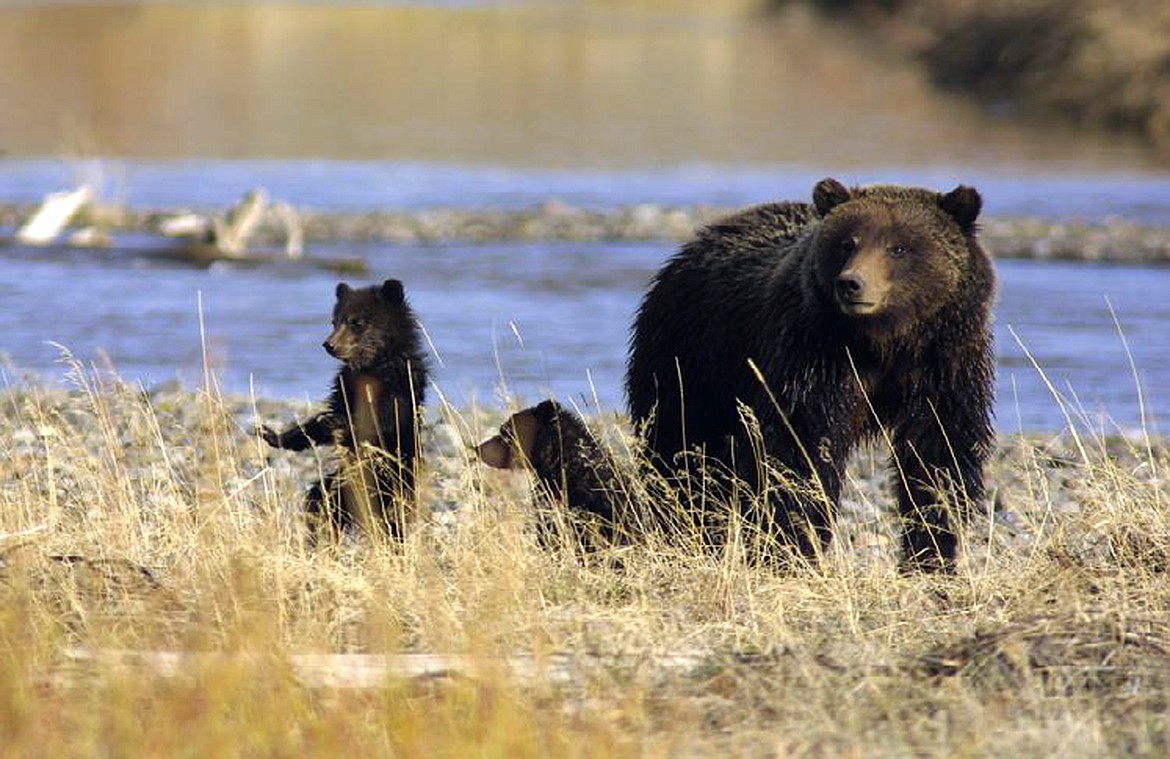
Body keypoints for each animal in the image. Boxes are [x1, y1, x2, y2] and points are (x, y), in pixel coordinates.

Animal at [631, 177, 996, 568]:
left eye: (898, 247)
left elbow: (939, 455)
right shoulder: (813, 356)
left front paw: (931, 553)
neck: (882, 344)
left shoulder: (944, 363)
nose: (851, 283)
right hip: (691, 357)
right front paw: (794, 542)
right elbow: (801, 447)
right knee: (680, 444)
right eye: (848, 242)